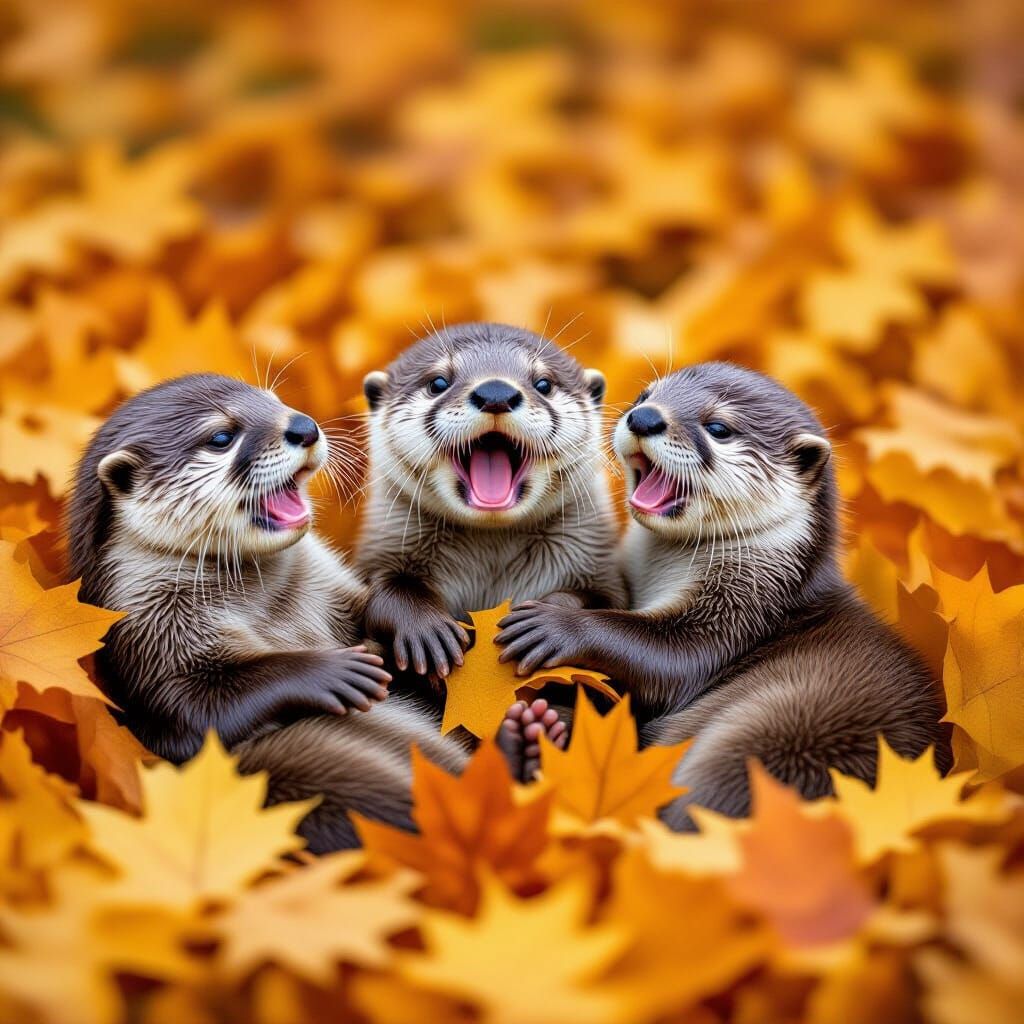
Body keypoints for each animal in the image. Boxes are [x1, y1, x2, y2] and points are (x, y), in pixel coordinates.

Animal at [68, 373, 470, 851]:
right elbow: (194, 708)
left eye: (274, 401)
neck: (273, 609)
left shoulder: (334, 589)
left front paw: (419, 629)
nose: (303, 426)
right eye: (221, 438)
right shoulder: (146, 640)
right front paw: (332, 673)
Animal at [358, 322, 625, 688]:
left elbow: (604, 602)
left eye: (544, 383)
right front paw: (426, 631)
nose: (495, 392)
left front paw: (550, 622)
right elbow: (384, 589)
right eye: (438, 383)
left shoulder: (600, 564)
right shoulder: (380, 552)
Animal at [495, 362, 947, 823]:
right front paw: (559, 601)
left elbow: (668, 656)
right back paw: (533, 735)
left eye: (719, 428)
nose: (644, 418)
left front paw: (558, 625)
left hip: (767, 745)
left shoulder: (743, 611)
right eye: (645, 396)